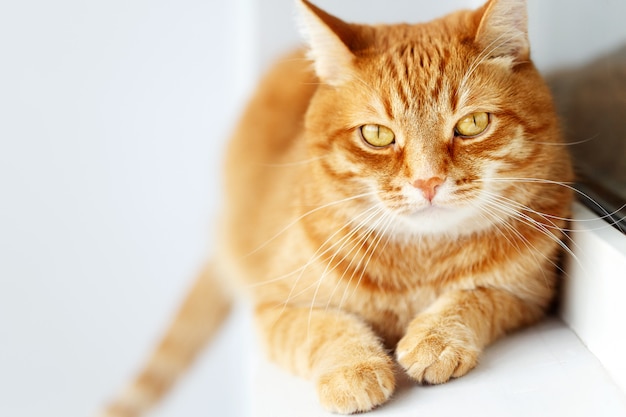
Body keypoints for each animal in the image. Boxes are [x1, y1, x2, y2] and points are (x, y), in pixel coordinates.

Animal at [101, 0, 572, 412]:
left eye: (473, 124)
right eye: (377, 135)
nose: (428, 182)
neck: (420, 260)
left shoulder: (527, 296)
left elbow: (472, 299)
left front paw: (434, 339)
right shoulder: (275, 308)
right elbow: (328, 327)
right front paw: (354, 370)